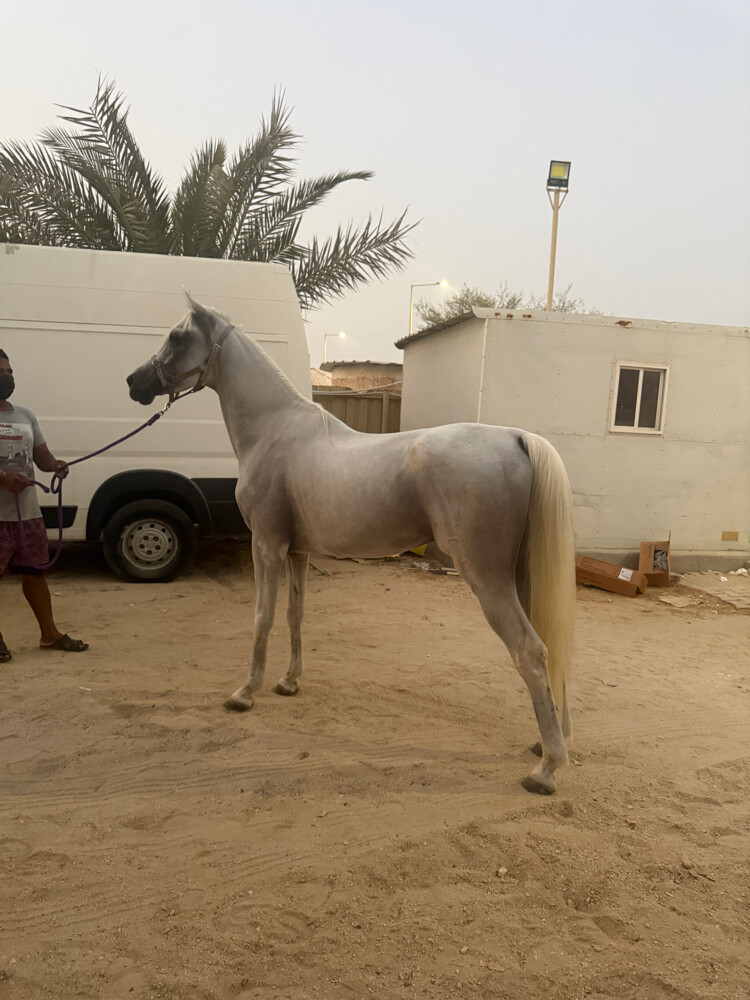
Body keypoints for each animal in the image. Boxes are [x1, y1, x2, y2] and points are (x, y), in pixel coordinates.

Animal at [126, 295, 576, 794]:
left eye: (177, 337)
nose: (134, 382)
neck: (273, 430)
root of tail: (518, 438)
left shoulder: (266, 545)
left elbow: (263, 616)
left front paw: (246, 692)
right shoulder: (296, 551)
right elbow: (294, 614)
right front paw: (289, 682)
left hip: (488, 580)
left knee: (530, 652)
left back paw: (547, 767)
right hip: (521, 577)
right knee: (552, 648)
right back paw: (545, 744)